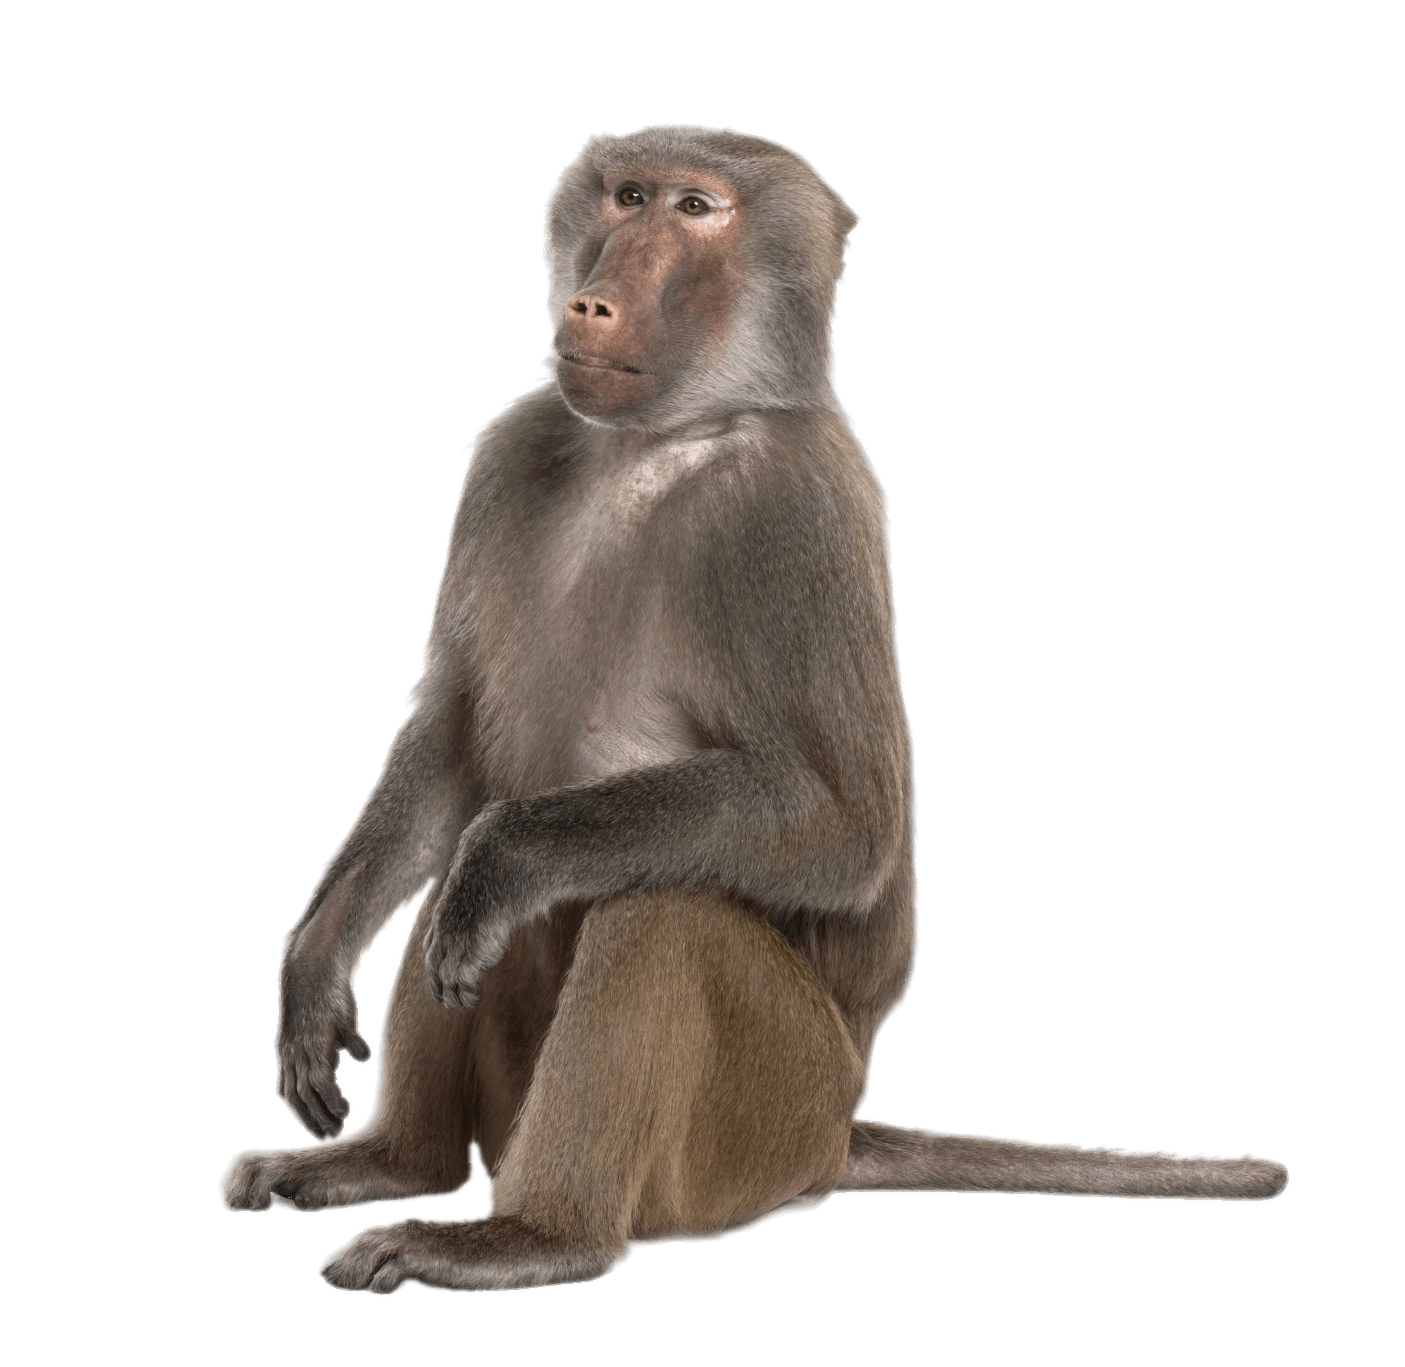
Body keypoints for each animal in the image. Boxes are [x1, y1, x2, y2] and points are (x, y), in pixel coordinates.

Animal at [217, 123, 1290, 1297]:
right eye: (626, 195)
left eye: (695, 208)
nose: (592, 303)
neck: (661, 436)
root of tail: (836, 1127)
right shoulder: (510, 453)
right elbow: (452, 735)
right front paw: (313, 970)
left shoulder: (789, 514)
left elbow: (842, 826)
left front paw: (507, 858)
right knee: (465, 869)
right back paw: (390, 1161)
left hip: (759, 1122)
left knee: (660, 908)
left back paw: (532, 1234)